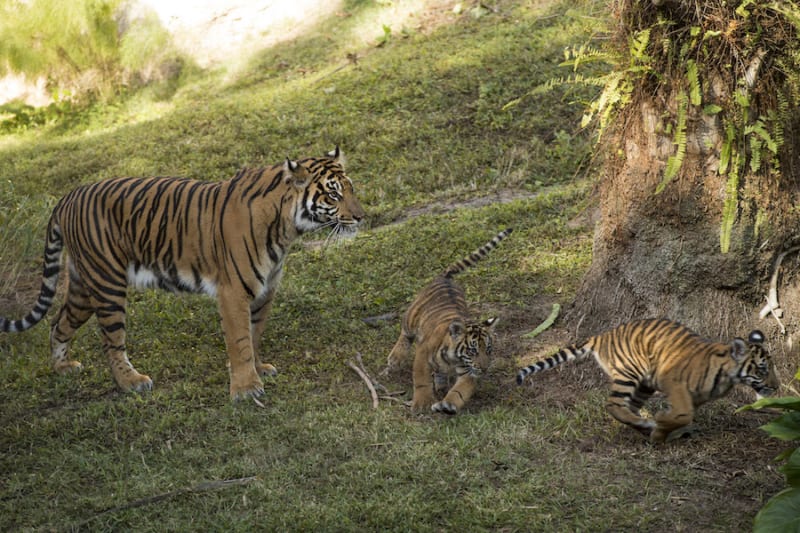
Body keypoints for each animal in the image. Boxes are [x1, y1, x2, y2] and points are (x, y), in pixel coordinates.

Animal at [1, 145, 364, 400]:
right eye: (333, 193)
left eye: (351, 188)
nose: (361, 217)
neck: (286, 228)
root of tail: (67, 196)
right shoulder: (233, 291)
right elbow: (240, 339)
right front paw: (246, 389)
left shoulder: (265, 290)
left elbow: (255, 334)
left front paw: (258, 368)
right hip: (107, 284)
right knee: (111, 342)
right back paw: (131, 382)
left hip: (82, 286)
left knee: (58, 323)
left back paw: (62, 368)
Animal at [388, 227, 512, 414]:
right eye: (473, 351)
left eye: (489, 350)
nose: (484, 369)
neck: (454, 359)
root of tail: (445, 277)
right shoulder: (423, 353)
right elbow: (421, 379)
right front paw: (422, 403)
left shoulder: (468, 371)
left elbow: (460, 391)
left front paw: (448, 404)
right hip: (411, 317)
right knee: (405, 334)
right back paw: (395, 358)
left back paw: (441, 385)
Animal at [516, 318, 780, 442]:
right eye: (762, 369)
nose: (776, 387)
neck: (727, 375)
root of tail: (604, 335)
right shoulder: (674, 383)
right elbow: (682, 414)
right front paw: (661, 426)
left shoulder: (695, 397)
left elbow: (682, 415)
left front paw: (661, 430)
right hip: (630, 372)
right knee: (613, 404)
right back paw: (645, 423)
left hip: (644, 384)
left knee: (628, 407)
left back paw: (642, 425)